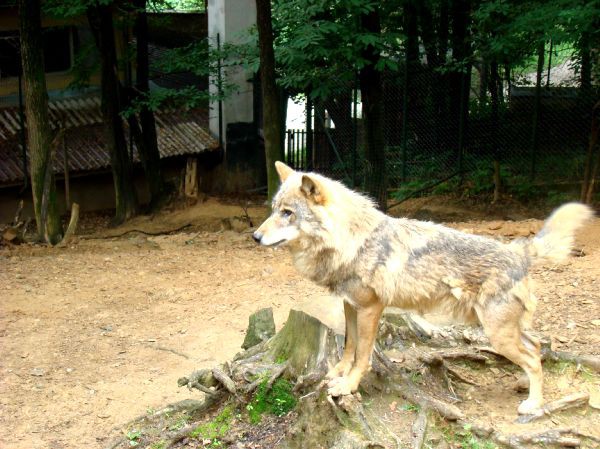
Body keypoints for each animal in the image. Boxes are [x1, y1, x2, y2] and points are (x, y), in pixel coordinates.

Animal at [251, 161, 592, 412]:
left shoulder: (371, 308)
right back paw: (524, 386)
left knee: (533, 358)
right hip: (505, 332)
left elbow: (363, 355)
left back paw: (533, 404)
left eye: (287, 213)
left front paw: (348, 385)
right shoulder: (350, 304)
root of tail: (518, 250)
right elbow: (349, 345)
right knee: (535, 348)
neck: (352, 241)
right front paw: (337, 372)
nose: (255, 236)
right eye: (274, 209)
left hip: (497, 334)